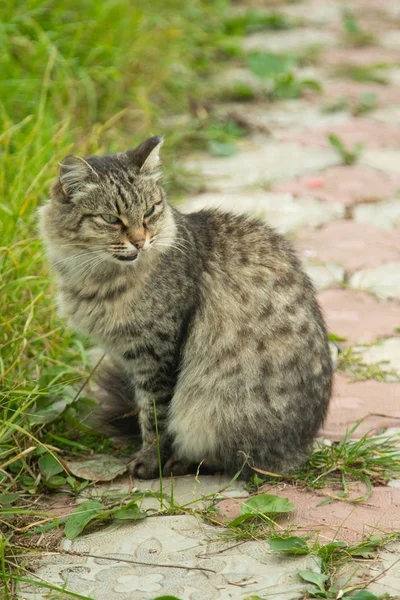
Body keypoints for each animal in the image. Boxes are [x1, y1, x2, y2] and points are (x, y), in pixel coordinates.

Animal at [39, 135, 334, 478]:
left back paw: (181, 462)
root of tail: (302, 446)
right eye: (111, 219)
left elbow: (155, 417)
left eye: (150, 211)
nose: (140, 241)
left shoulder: (157, 355)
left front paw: (149, 464)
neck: (96, 278)